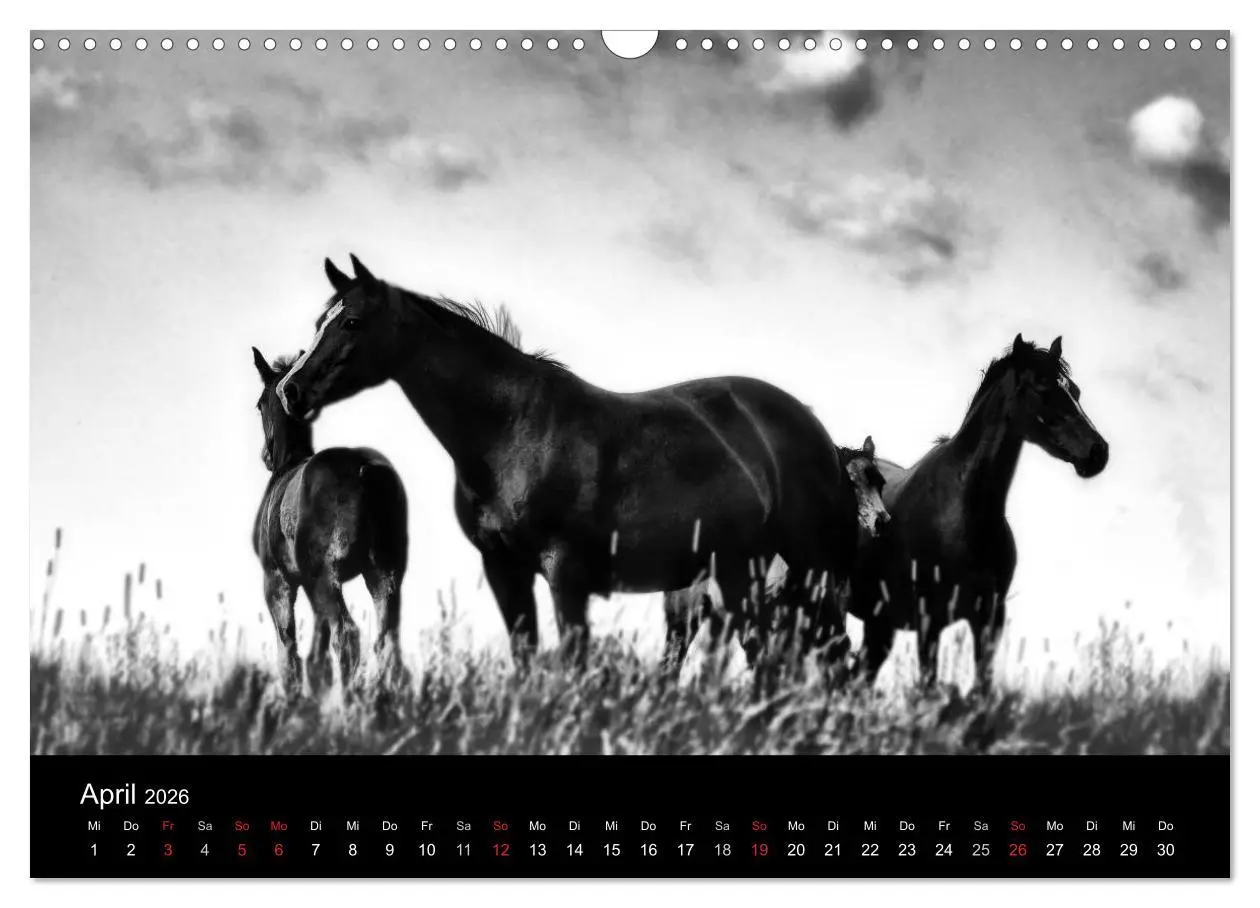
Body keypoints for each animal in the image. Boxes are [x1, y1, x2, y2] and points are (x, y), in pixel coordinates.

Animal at [251, 347, 409, 693]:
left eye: (259, 404)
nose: (265, 455)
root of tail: (364, 469)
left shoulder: (276, 582)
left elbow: (289, 654)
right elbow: (316, 657)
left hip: (324, 578)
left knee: (347, 637)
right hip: (384, 575)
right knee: (387, 645)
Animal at [276, 255, 858, 665]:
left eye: (351, 321)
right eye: (320, 320)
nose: (291, 390)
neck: (512, 432)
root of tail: (813, 430)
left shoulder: (565, 572)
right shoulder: (505, 570)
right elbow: (527, 660)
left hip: (809, 566)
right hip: (741, 572)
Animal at [850, 334, 1109, 684]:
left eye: (1076, 391)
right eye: (1041, 386)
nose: (1098, 452)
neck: (962, 513)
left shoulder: (988, 618)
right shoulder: (929, 620)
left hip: (879, 625)